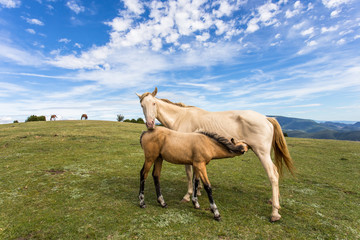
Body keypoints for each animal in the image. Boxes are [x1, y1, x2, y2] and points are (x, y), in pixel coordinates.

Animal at [136, 87, 294, 221]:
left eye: (154, 103)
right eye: (142, 105)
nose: (150, 124)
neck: (181, 117)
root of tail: (266, 118)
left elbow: (189, 174)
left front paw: (188, 196)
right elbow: (196, 177)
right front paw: (198, 193)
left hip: (262, 153)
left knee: (273, 175)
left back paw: (274, 213)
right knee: (275, 173)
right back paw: (275, 202)